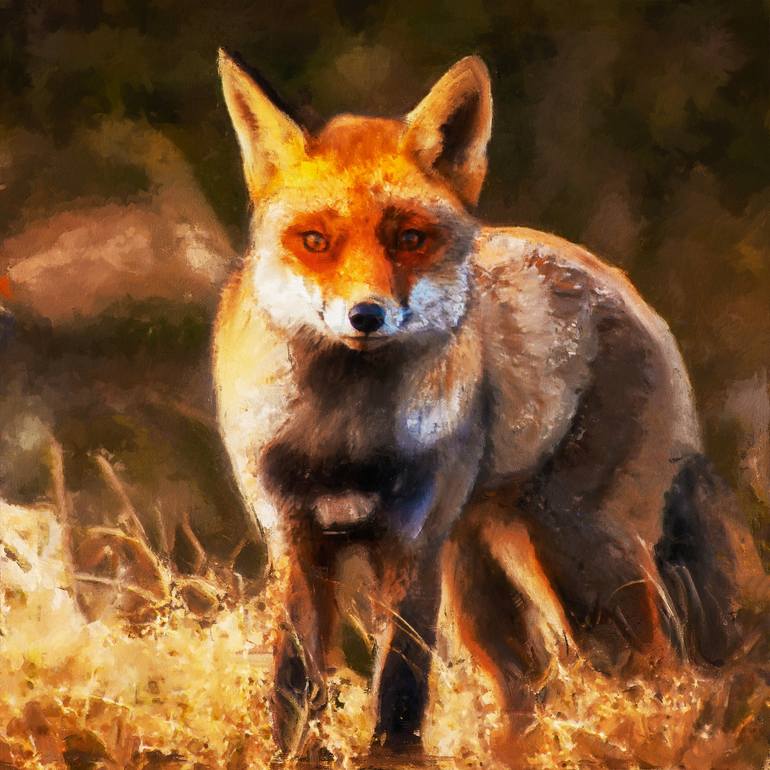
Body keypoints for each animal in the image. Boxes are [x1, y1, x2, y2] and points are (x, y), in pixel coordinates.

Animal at [213, 50, 765, 758]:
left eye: (410, 238)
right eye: (314, 241)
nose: (366, 315)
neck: (344, 436)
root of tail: (625, 288)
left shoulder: (412, 543)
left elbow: (399, 684)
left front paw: (392, 759)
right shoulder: (295, 540)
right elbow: (293, 681)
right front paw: (289, 756)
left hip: (582, 555)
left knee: (662, 672)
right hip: (485, 582)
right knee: (527, 691)